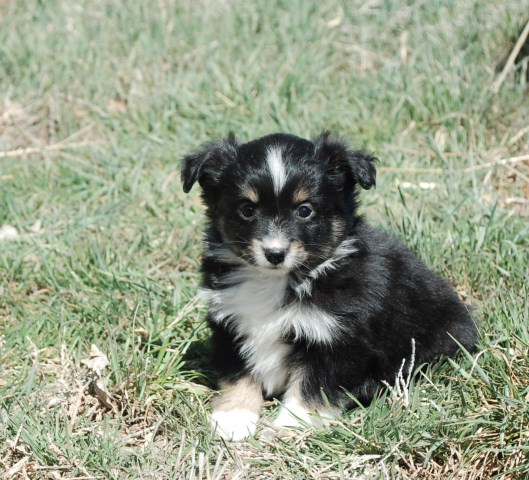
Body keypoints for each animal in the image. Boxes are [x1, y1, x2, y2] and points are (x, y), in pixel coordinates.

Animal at [179, 131, 476, 438]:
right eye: (247, 209)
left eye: (305, 210)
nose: (275, 253)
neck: (279, 279)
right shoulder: (231, 322)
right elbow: (238, 373)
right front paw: (233, 419)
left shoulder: (337, 338)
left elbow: (312, 386)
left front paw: (291, 425)